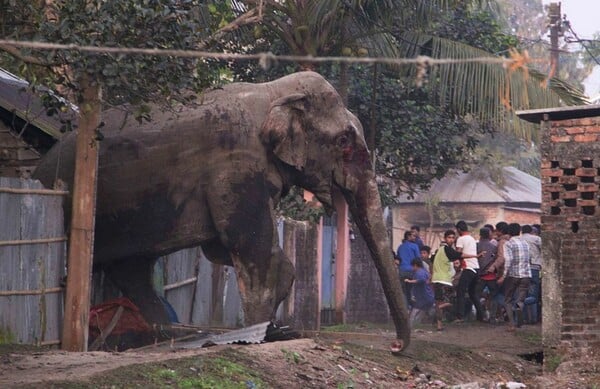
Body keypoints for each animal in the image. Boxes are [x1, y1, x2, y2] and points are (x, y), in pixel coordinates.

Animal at [34, 69, 412, 348]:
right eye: (344, 142)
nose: (395, 346)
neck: (272, 93)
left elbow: (223, 248)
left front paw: (273, 328)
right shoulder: (235, 163)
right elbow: (247, 243)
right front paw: (266, 332)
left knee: (134, 269)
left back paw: (170, 334)